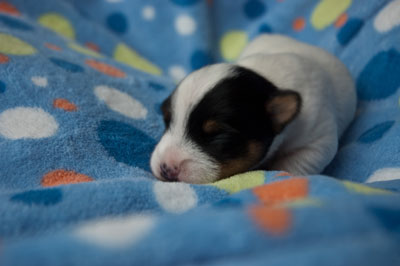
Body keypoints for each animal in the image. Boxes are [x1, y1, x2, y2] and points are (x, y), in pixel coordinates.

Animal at [150, 34, 356, 184]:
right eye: (167, 122)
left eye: (218, 136)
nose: (165, 167)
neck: (267, 81)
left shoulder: (318, 139)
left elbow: (296, 163)